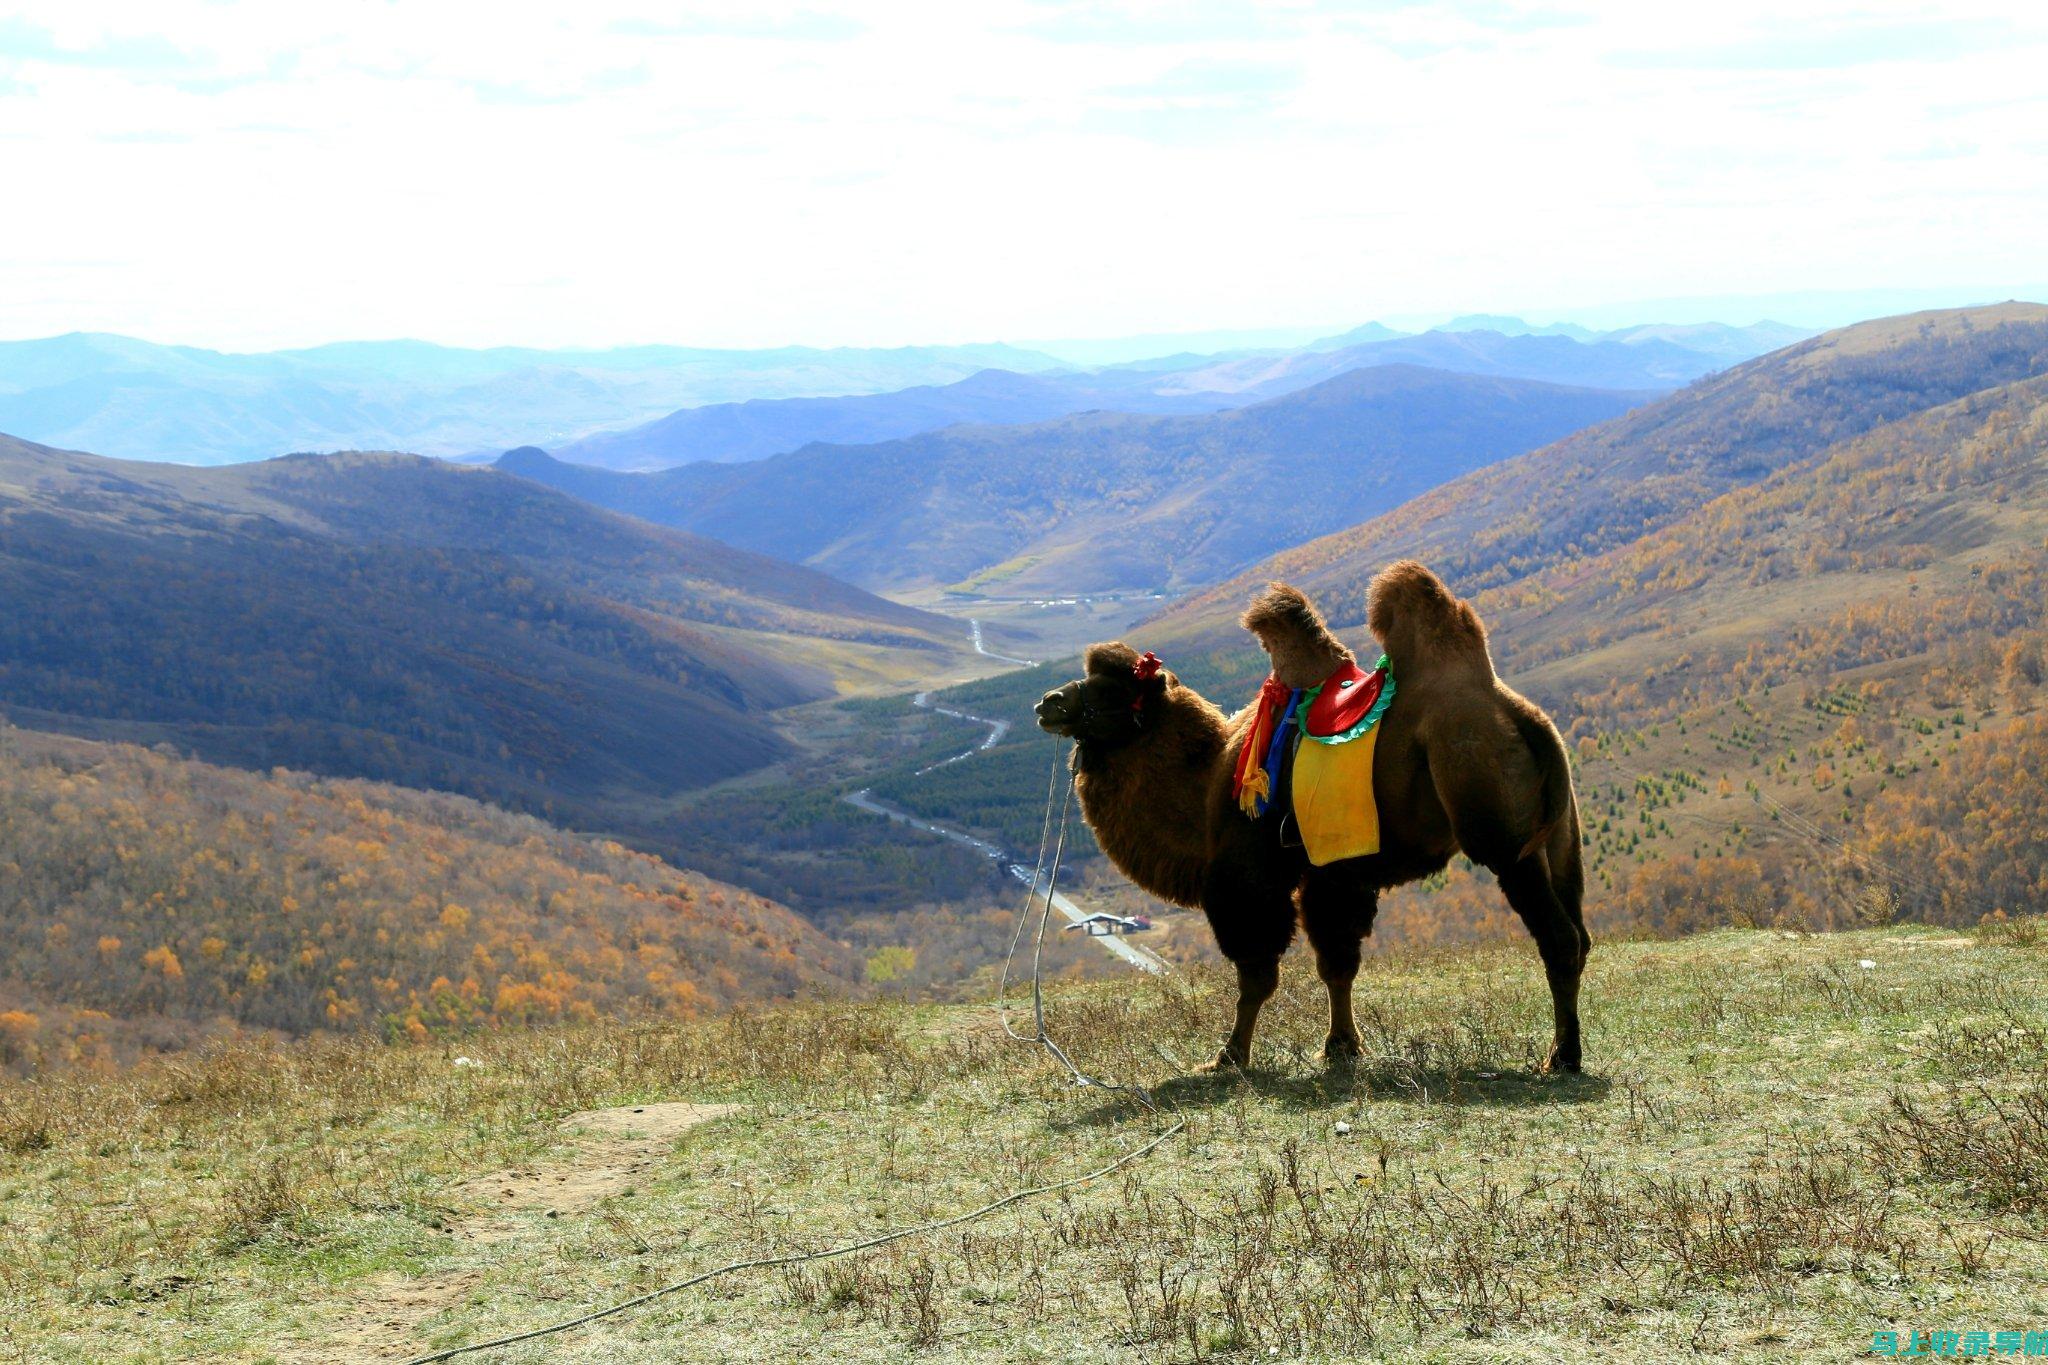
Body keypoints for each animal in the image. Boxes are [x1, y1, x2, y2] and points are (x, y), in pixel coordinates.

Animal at [1032, 560, 1589, 1072]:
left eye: (1113, 689)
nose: (1049, 702)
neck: (1207, 783)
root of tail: (1522, 715)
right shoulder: (1333, 874)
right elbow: (1336, 963)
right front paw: (1341, 1047)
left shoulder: (1249, 877)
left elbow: (1256, 975)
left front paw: (1229, 1056)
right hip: (1560, 841)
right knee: (1579, 934)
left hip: (1502, 838)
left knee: (1558, 938)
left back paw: (1561, 1057)